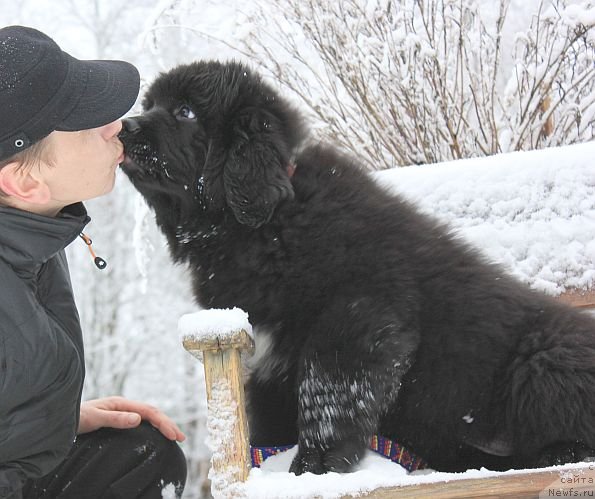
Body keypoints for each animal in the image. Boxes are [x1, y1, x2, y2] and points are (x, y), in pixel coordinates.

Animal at [120, 60, 595, 474]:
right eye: (151, 105)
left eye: (185, 112)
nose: (125, 127)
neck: (268, 222)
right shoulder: (272, 358)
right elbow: (270, 412)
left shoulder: (358, 308)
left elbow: (326, 386)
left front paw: (317, 462)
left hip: (545, 360)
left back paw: (559, 455)